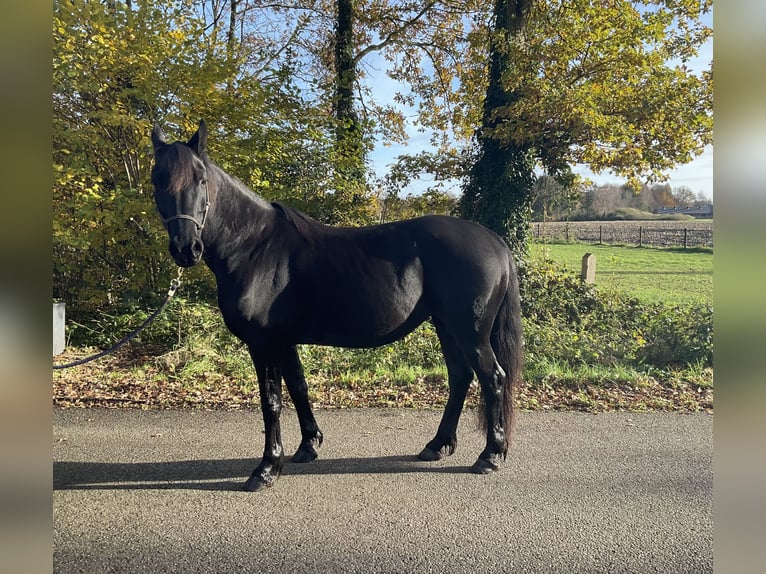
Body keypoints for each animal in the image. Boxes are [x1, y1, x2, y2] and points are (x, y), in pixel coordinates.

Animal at [152, 120, 520, 490]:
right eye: (157, 180)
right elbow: (298, 387)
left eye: (200, 179)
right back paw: (438, 444)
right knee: (460, 377)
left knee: (492, 379)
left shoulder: (264, 343)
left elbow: (272, 402)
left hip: (470, 332)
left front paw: (267, 468)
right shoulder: (284, 342)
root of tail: (494, 241)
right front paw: (308, 446)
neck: (253, 247)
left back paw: (489, 455)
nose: (186, 248)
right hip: (445, 326)